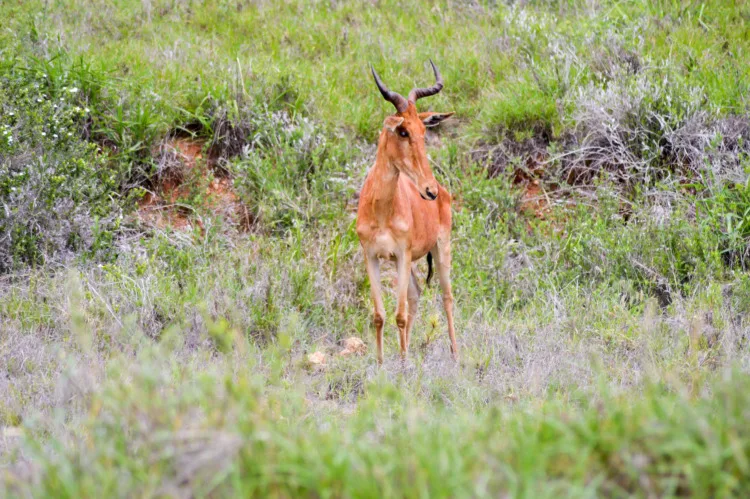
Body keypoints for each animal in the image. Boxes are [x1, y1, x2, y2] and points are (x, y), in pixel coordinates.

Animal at [358, 61, 458, 364]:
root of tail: (445, 192)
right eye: (403, 131)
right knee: (415, 295)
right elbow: (379, 316)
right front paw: (382, 365)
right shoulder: (372, 256)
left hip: (440, 248)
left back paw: (456, 356)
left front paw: (402, 366)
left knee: (447, 297)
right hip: (409, 261)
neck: (381, 212)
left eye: (423, 132)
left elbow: (399, 316)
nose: (429, 191)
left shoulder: (401, 254)